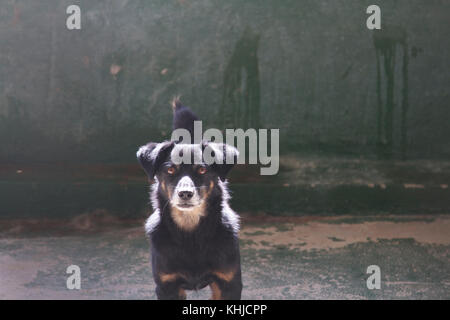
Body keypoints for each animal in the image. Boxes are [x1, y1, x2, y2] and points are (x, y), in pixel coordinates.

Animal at [137, 99, 243, 298]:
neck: (191, 234)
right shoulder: (167, 286)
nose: (185, 193)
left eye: (202, 169)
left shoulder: (228, 283)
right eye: (171, 169)